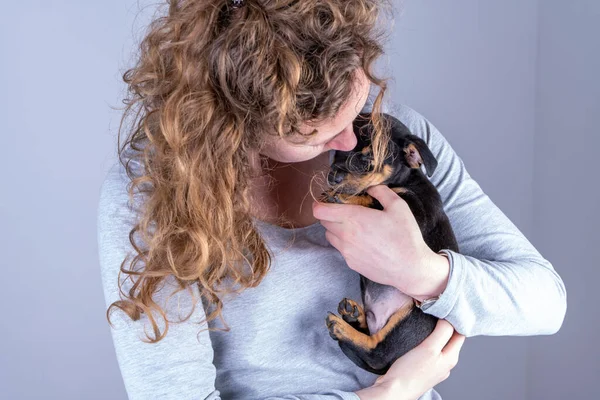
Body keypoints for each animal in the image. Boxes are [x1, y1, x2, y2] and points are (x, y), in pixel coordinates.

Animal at [324, 111, 460, 376]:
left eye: (367, 160)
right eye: (337, 151)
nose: (332, 176)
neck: (404, 180)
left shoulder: (414, 211)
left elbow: (378, 198)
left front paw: (347, 197)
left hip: (413, 317)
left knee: (377, 353)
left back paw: (342, 327)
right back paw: (354, 317)